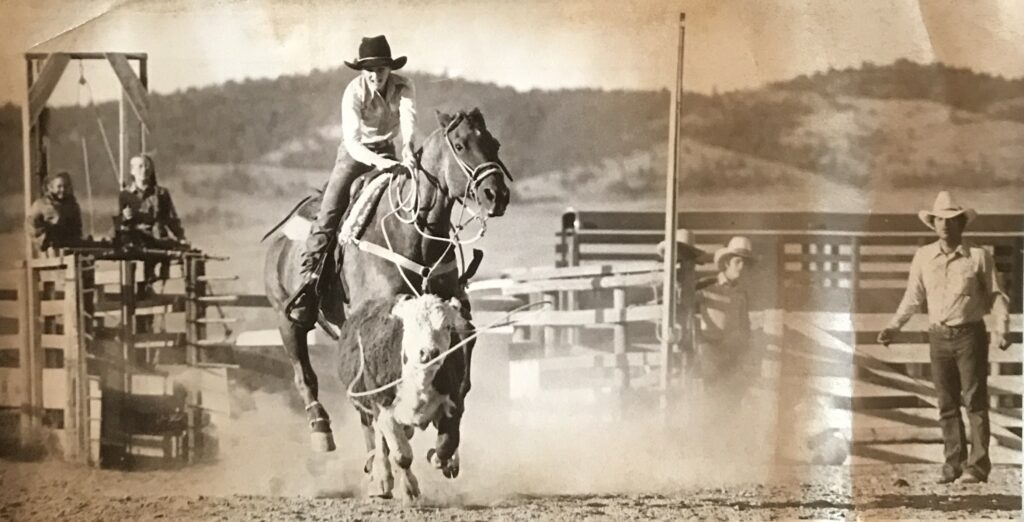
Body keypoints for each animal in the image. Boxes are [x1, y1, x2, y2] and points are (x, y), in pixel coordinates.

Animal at [337, 290, 468, 499]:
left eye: (447, 326)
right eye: (410, 328)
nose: (429, 353)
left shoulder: (453, 403)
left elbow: (447, 443)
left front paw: (437, 458)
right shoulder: (383, 408)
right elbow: (402, 455)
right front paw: (410, 489)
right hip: (370, 408)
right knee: (380, 440)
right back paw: (382, 480)